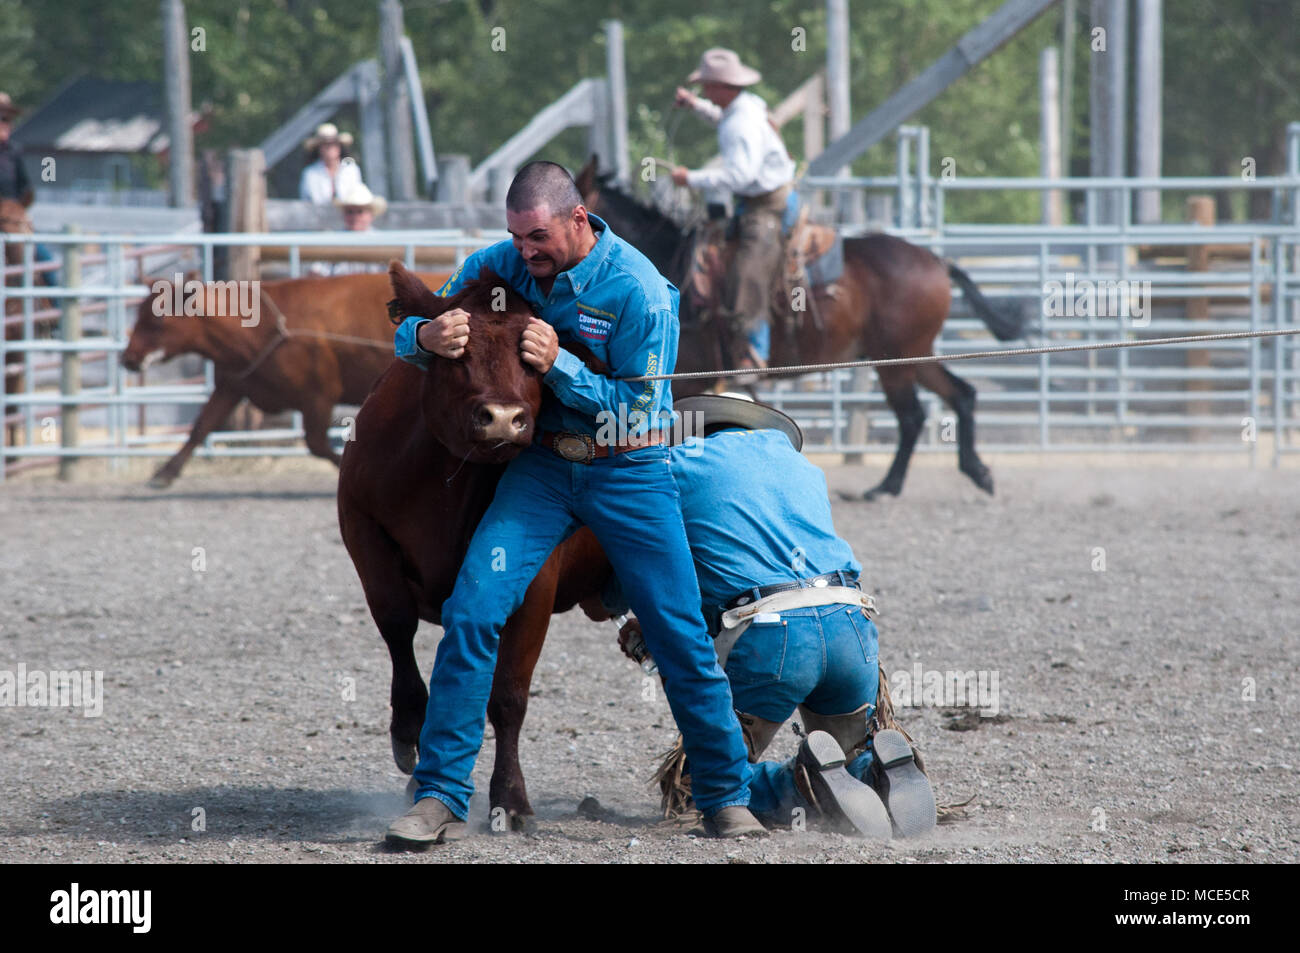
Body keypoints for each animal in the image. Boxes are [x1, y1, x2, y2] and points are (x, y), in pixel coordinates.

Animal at [122, 269, 447, 486]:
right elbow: (201, 427)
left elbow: (316, 444)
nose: (127, 358)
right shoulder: (233, 385)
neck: (261, 327)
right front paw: (165, 473)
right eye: (138, 315)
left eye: (157, 320)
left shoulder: (318, 395)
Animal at [340, 263, 613, 821]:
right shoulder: (360, 526)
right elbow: (397, 625)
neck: (445, 478)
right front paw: (409, 736)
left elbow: (508, 694)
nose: (503, 418)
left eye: (533, 359)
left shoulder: (536, 579)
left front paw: (510, 798)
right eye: (455, 353)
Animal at [572, 157, 1024, 499]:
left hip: (898, 360)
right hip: (916, 354)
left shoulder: (682, 379)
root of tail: (937, 261)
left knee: (912, 416)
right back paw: (976, 473)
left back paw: (887, 487)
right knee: (961, 395)